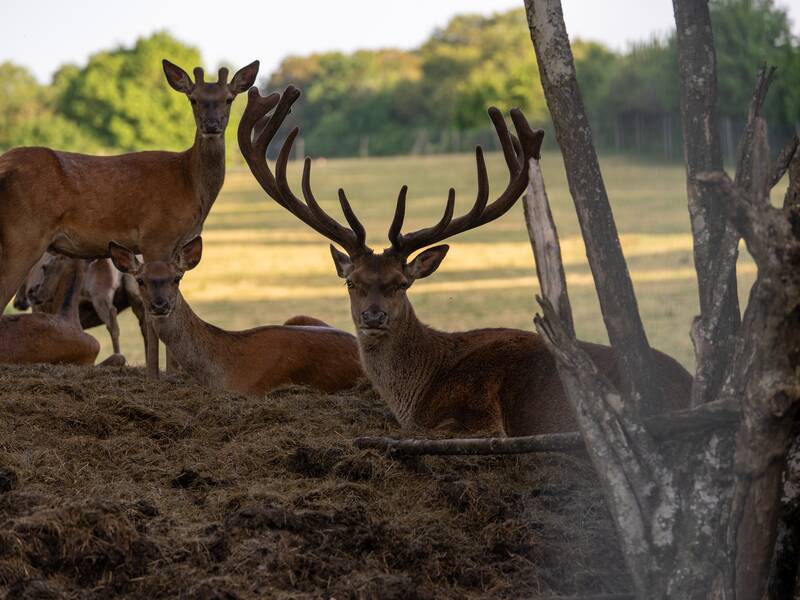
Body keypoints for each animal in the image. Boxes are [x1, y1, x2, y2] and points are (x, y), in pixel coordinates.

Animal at [0, 61, 260, 378]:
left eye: (229, 98)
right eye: (193, 99)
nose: (212, 125)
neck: (190, 185)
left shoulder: (176, 245)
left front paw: (169, 372)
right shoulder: (156, 235)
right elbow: (152, 314)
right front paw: (156, 374)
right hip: (23, 234)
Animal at [239, 85, 692, 436]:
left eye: (401, 283)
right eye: (352, 282)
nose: (373, 316)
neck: (419, 392)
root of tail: (691, 384)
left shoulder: (478, 417)